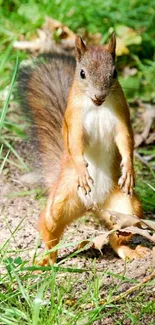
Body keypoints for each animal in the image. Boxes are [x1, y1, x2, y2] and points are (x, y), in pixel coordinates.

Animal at [17, 33, 148, 264]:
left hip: (127, 209)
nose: (99, 95)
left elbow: (125, 141)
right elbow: (76, 143)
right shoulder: (74, 119)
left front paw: (129, 170)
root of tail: (91, 206)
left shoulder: (121, 117)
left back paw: (130, 251)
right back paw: (46, 260)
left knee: (117, 237)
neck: (98, 107)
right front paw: (82, 170)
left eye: (114, 72)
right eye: (82, 73)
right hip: (60, 202)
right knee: (49, 230)